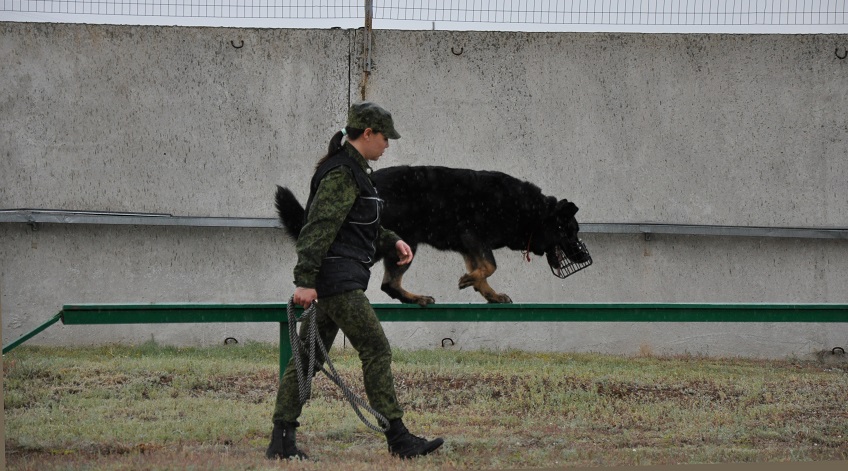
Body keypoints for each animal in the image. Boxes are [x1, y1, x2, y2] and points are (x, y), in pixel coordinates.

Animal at [274, 166, 588, 306]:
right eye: (572, 231)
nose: (584, 255)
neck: (532, 211)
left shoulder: (469, 246)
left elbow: (483, 269)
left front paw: (488, 292)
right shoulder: (473, 236)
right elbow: (490, 265)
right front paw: (469, 281)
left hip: (402, 247)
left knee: (389, 284)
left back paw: (414, 298)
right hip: (392, 244)